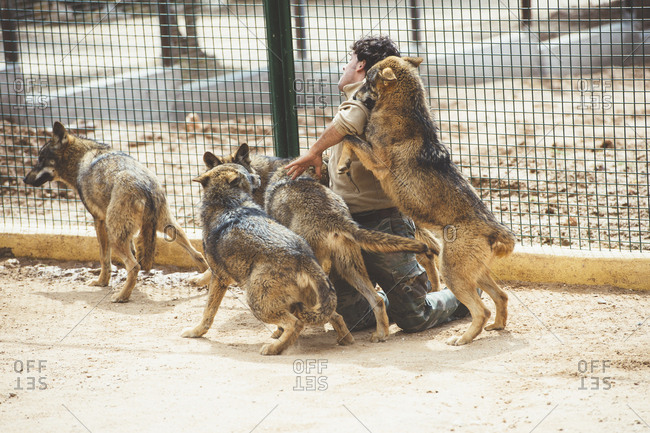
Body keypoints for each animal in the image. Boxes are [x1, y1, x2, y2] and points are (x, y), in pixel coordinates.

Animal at [23, 121, 209, 302]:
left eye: (41, 160)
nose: (24, 179)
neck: (81, 159)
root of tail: (145, 186)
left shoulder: (99, 222)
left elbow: (104, 260)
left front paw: (101, 282)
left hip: (115, 237)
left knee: (134, 266)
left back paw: (121, 297)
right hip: (168, 228)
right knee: (198, 255)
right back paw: (205, 285)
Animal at [182, 163, 354, 355]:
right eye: (248, 174)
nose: (257, 176)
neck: (227, 203)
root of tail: (302, 257)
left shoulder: (220, 278)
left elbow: (208, 312)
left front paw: (195, 332)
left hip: (256, 302)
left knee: (295, 323)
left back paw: (274, 348)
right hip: (308, 304)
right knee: (335, 316)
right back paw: (345, 340)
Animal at [344, 56, 517, 345]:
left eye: (367, 79)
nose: (352, 96)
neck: (401, 108)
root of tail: (493, 227)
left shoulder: (376, 161)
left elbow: (349, 138)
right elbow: (350, 140)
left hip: (452, 273)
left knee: (480, 310)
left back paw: (463, 339)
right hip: (473, 273)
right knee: (500, 297)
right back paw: (497, 326)